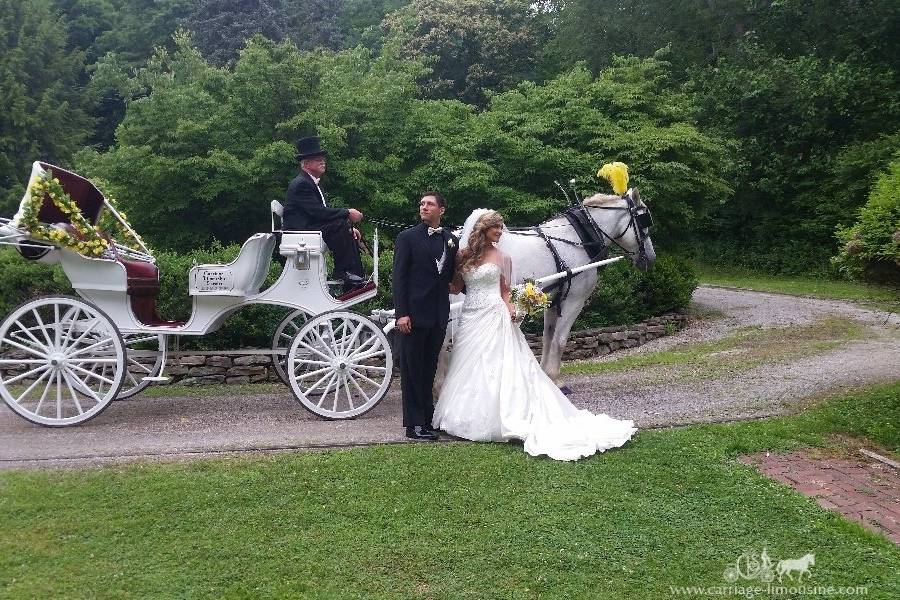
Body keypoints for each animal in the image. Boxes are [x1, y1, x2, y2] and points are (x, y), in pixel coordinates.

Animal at [458, 188, 652, 386]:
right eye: (644, 220)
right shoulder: (574, 300)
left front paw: (545, 375)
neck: (578, 238)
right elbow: (560, 339)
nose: (651, 257)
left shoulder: (552, 301)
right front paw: (555, 378)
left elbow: (548, 337)